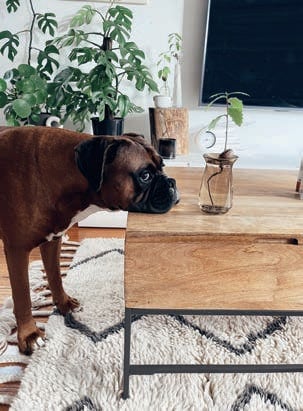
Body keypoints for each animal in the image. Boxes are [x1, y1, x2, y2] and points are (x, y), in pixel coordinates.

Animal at [0, 127, 178, 356]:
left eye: (163, 166)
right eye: (145, 176)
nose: (171, 182)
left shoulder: (52, 241)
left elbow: (55, 275)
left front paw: (64, 304)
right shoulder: (17, 250)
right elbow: (22, 295)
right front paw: (29, 334)